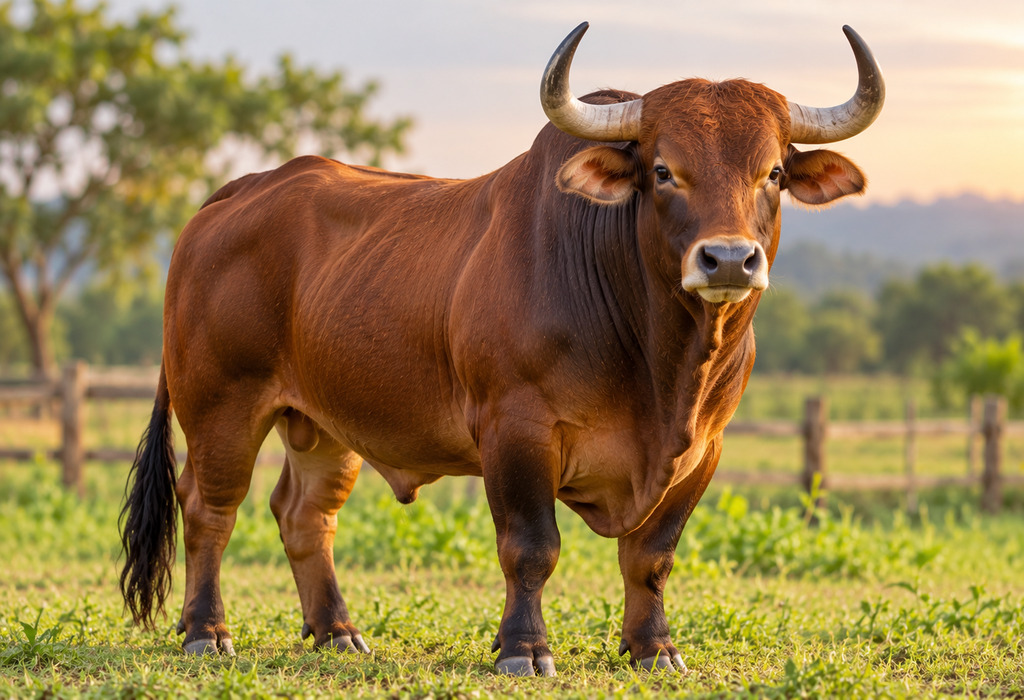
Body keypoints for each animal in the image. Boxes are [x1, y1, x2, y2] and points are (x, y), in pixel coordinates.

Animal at [119, 22, 884, 676]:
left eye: (773, 174)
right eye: (664, 171)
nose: (728, 259)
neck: (662, 365)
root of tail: (238, 193)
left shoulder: (704, 448)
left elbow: (651, 557)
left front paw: (653, 648)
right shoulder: (517, 429)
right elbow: (531, 547)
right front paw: (524, 648)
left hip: (322, 424)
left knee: (304, 514)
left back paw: (337, 631)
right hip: (220, 406)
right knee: (209, 508)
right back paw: (206, 632)